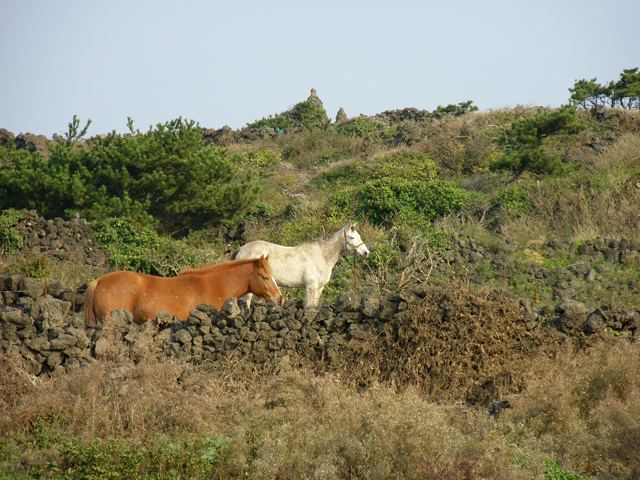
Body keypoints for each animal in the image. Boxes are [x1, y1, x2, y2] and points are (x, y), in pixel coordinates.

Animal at [232, 224, 368, 308]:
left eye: (359, 236)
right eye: (351, 237)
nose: (366, 253)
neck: (320, 255)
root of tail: (241, 249)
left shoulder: (319, 288)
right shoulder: (311, 287)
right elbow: (309, 307)